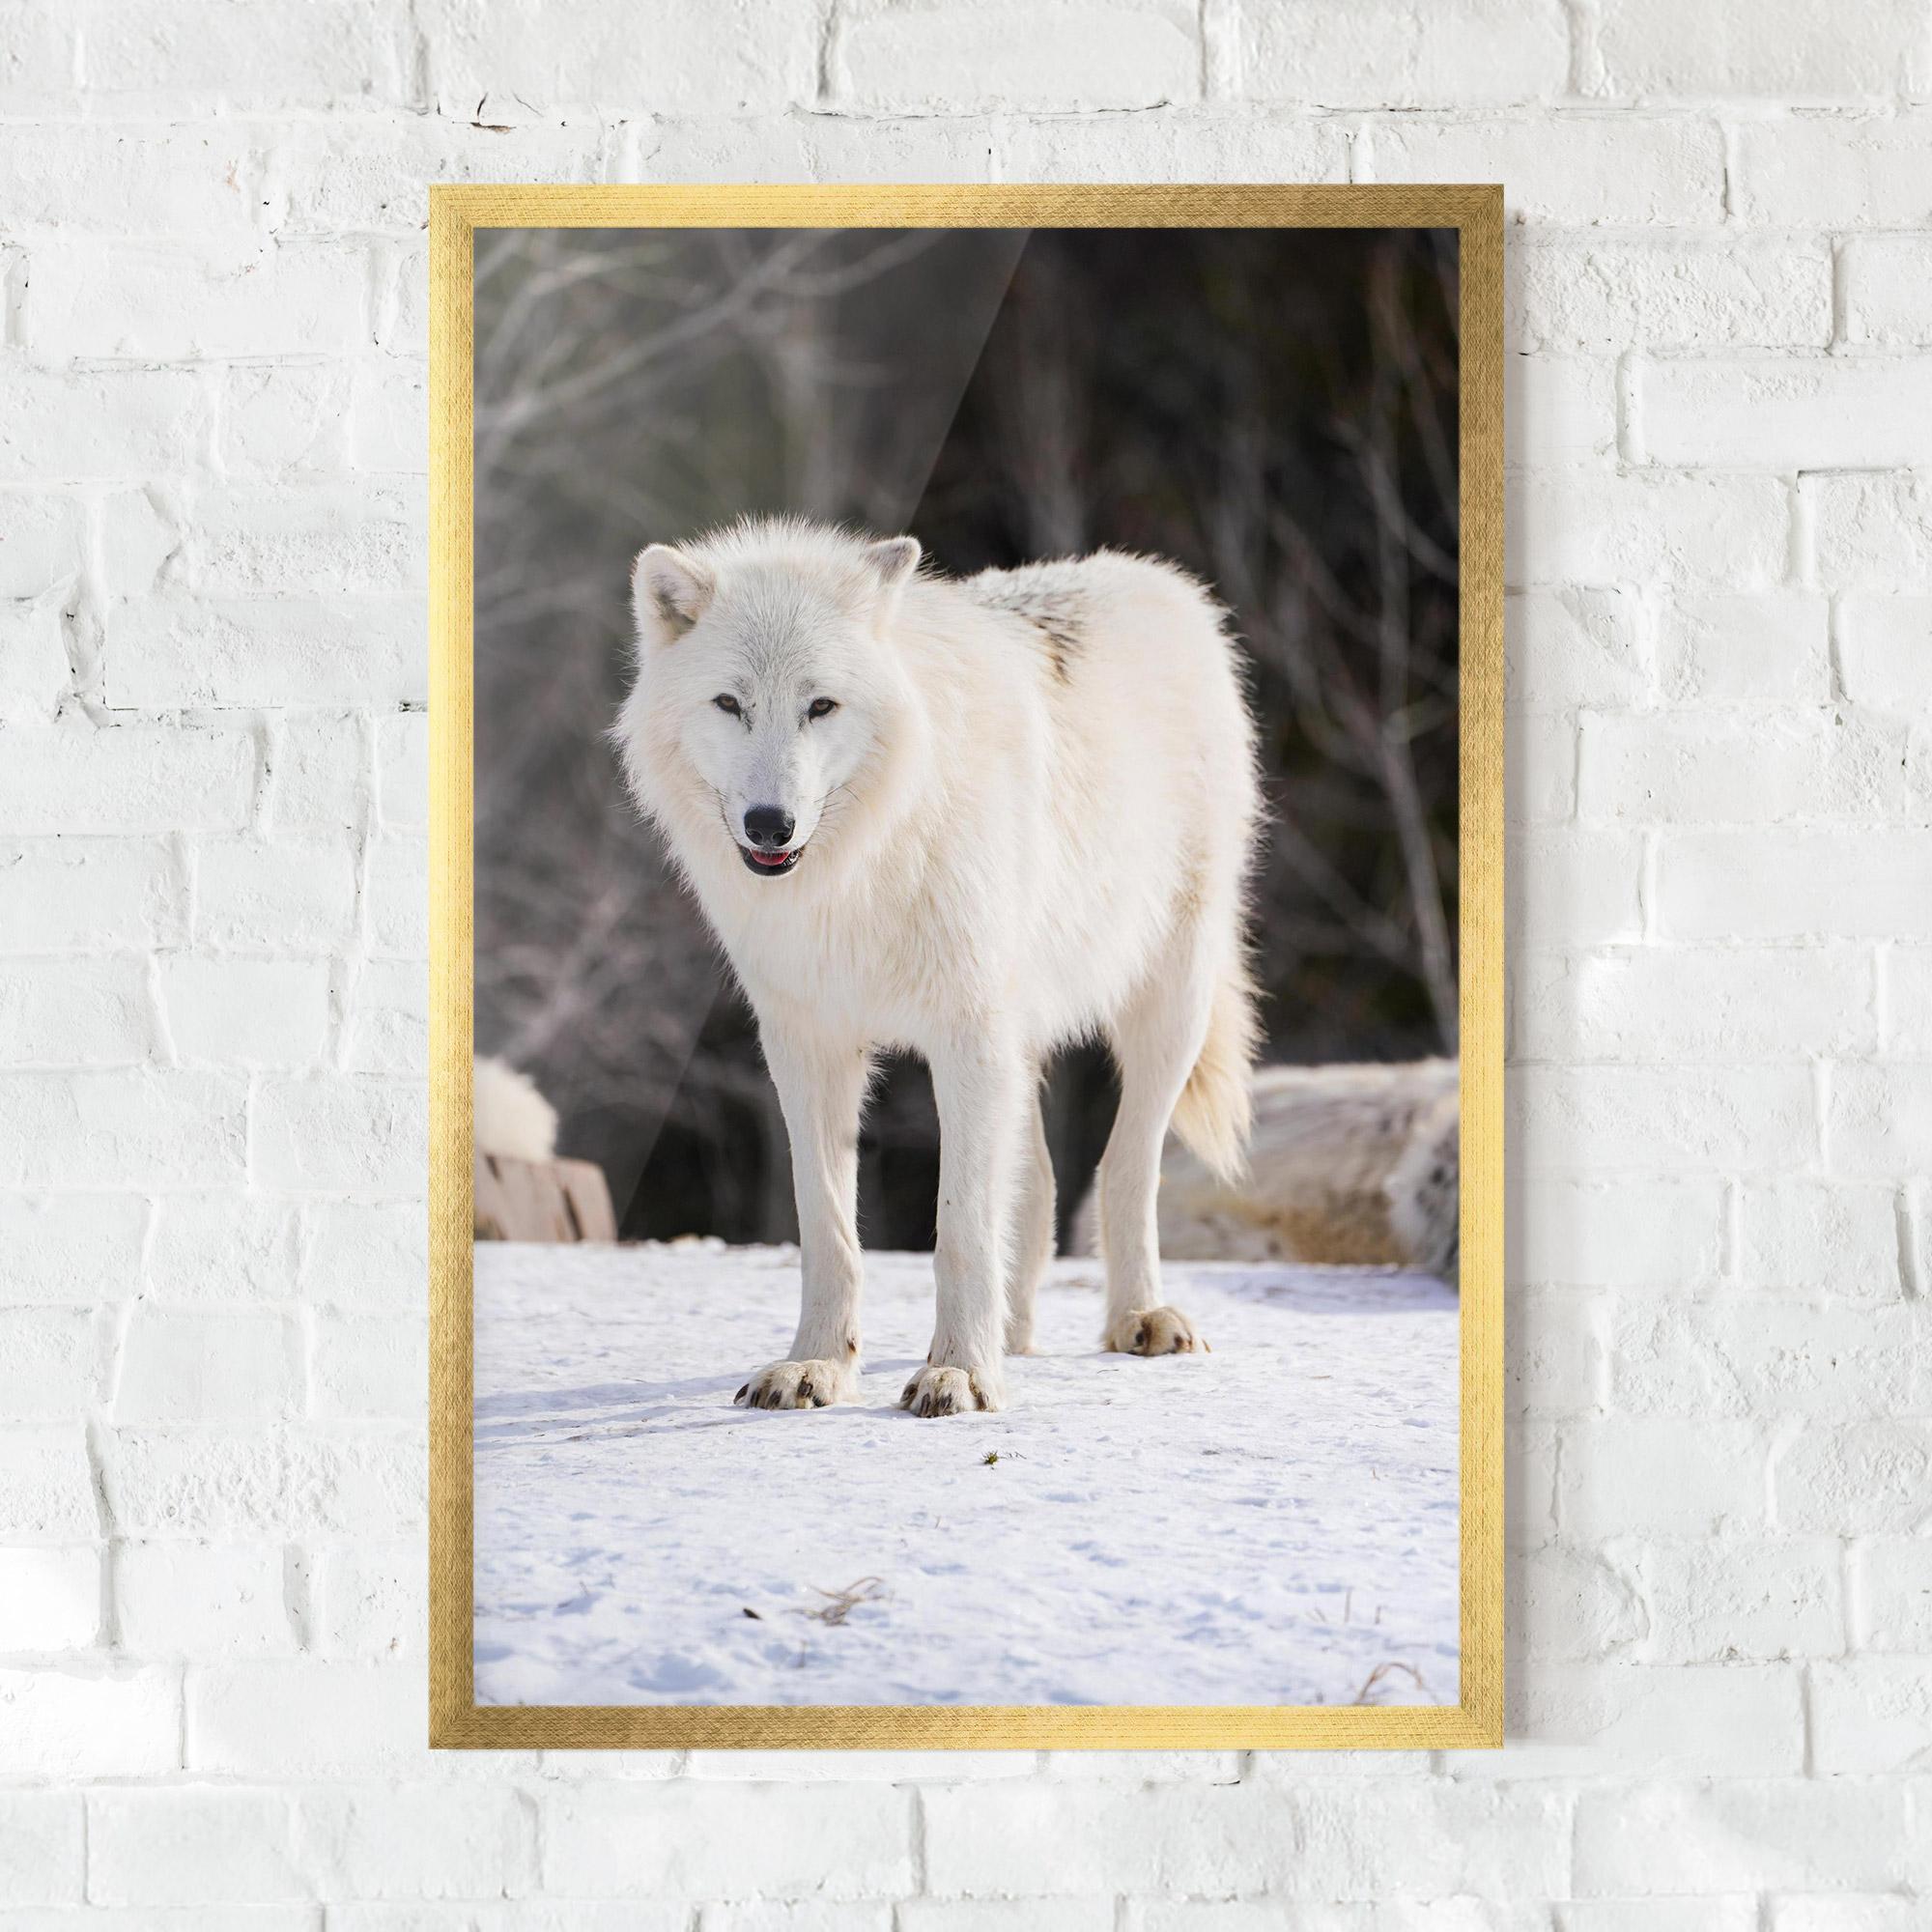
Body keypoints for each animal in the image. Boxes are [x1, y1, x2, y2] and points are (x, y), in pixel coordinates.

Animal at [614, 518, 1260, 1417]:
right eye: (729, 704)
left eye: (821, 705)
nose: (770, 824)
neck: (858, 873)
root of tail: (1159, 581)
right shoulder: (806, 1045)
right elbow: (828, 1226)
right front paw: (817, 1364)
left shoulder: (967, 1037)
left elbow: (958, 1225)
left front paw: (959, 1372)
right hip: (1025, 1041)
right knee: (1040, 1185)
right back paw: (1015, 1335)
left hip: (1168, 1006)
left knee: (1126, 1167)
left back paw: (1138, 1318)